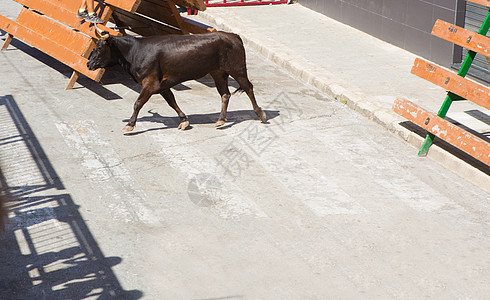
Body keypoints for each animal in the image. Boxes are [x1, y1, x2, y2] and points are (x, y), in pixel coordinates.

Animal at [86, 30, 266, 131]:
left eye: (100, 47)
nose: (88, 64)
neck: (134, 51)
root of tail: (234, 36)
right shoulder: (162, 85)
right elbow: (171, 101)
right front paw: (184, 120)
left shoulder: (150, 83)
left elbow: (138, 103)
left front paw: (130, 124)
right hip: (218, 73)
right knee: (225, 94)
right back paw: (221, 119)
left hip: (237, 69)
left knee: (248, 87)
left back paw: (260, 113)